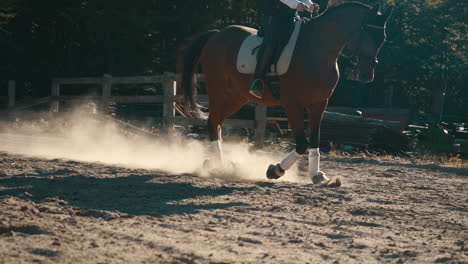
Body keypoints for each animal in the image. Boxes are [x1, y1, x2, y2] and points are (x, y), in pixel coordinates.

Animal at [177, 2, 394, 183]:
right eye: (367, 34)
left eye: (382, 39)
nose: (366, 75)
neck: (317, 50)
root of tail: (217, 34)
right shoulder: (292, 104)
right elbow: (302, 143)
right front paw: (275, 170)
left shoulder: (319, 103)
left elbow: (315, 139)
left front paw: (317, 175)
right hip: (219, 90)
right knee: (213, 122)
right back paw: (219, 166)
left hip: (237, 96)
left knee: (217, 123)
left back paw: (218, 163)